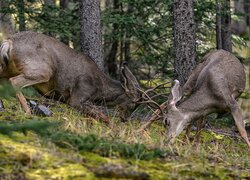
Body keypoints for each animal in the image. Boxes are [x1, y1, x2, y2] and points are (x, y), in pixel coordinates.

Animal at [0, 31, 141, 124]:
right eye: (133, 104)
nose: (125, 119)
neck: (99, 89)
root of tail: (9, 42)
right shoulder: (77, 96)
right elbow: (104, 117)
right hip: (42, 70)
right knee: (15, 82)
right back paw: (28, 112)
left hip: (6, 68)